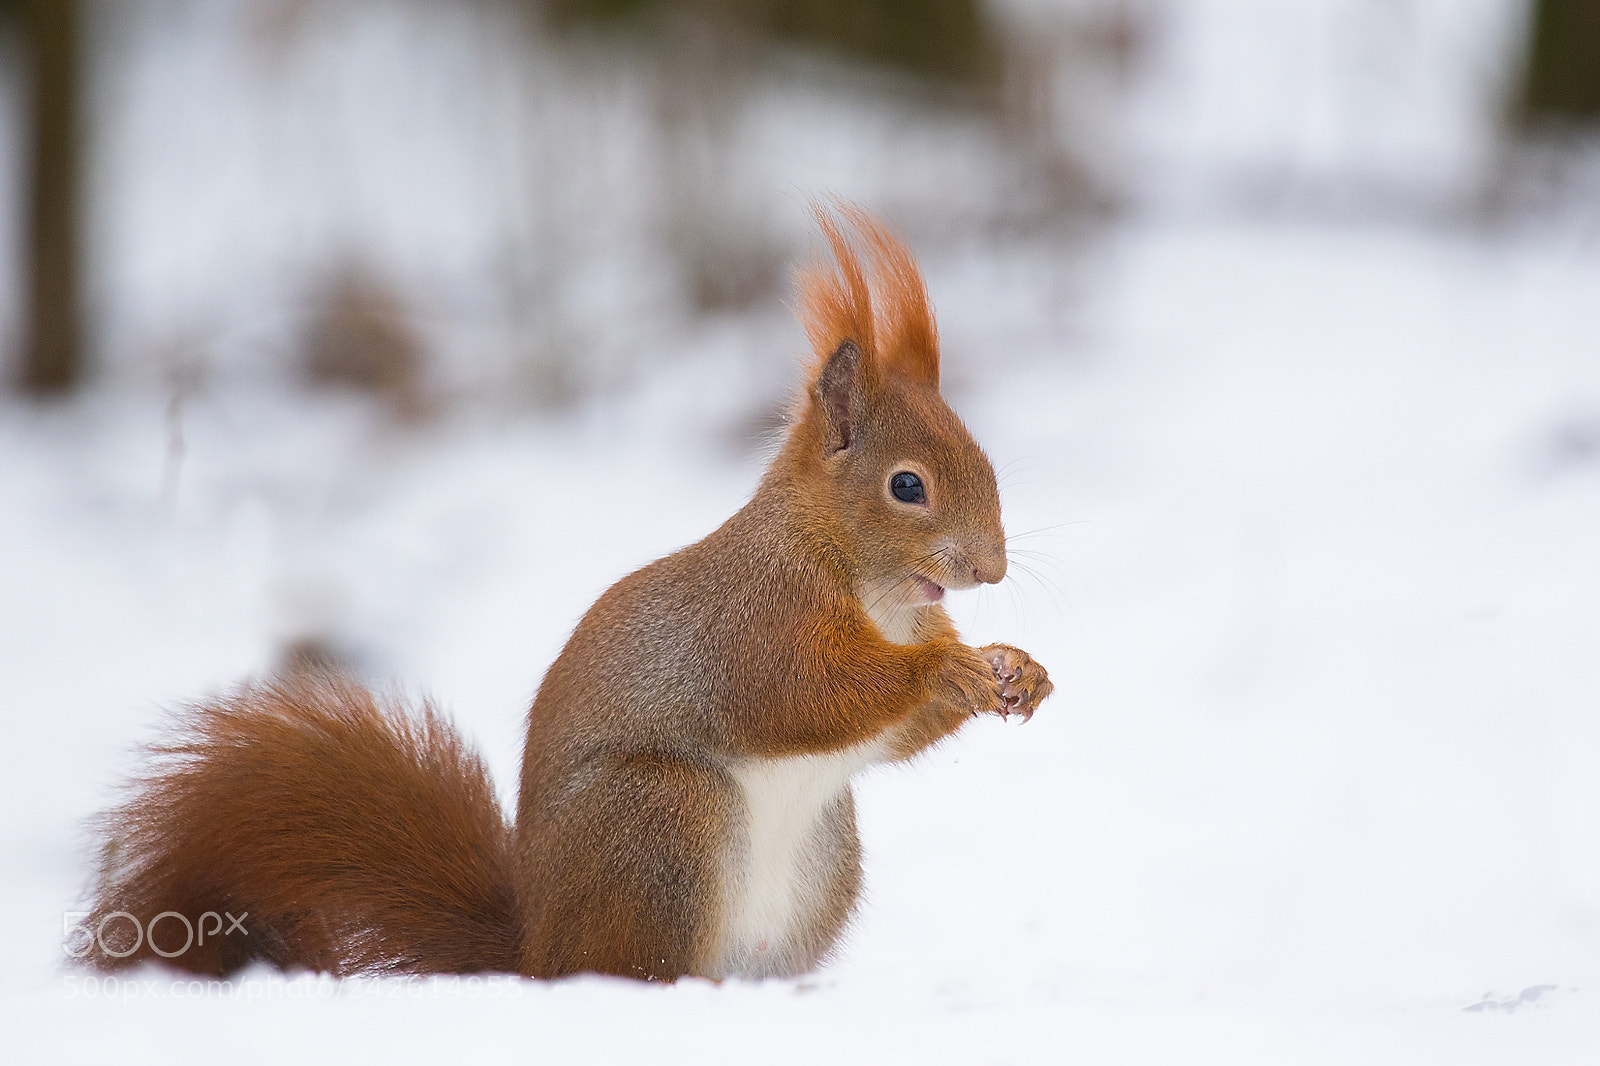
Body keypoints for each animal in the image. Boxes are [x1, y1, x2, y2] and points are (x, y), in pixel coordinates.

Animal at [77, 204, 1054, 982]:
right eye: (906, 486)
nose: (992, 571)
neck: (872, 589)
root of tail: (536, 952)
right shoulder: (755, 621)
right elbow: (800, 696)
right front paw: (946, 672)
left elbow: (889, 736)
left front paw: (1016, 670)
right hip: (661, 821)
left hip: (823, 861)